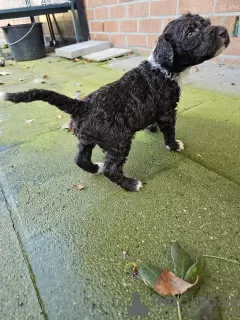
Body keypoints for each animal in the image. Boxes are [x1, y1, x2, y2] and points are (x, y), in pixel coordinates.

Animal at [0, 14, 230, 190]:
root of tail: (82, 105)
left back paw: (95, 168)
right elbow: (169, 130)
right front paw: (173, 145)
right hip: (118, 140)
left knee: (80, 159)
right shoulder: (167, 111)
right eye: (190, 32)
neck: (161, 69)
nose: (224, 31)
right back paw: (130, 184)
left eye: (207, 23)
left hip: (88, 138)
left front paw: (151, 128)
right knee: (112, 168)